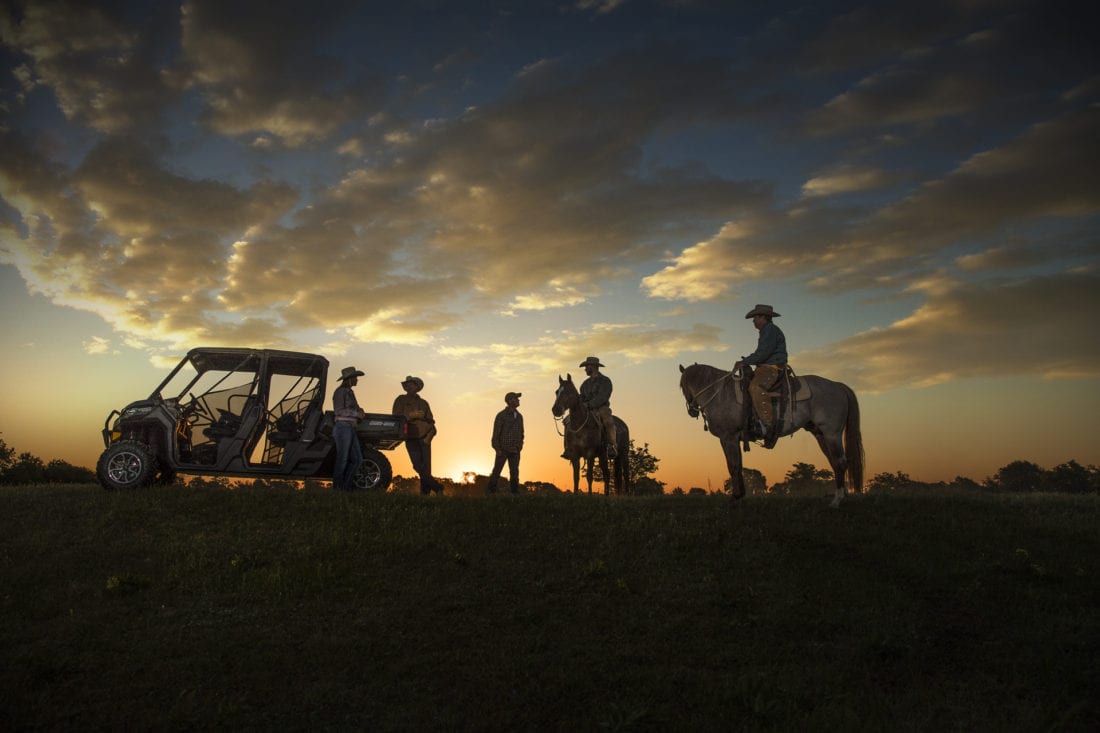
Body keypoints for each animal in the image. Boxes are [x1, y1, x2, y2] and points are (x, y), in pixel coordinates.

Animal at [673, 363, 862, 506]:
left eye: (682, 386)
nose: (692, 410)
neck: (720, 394)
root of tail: (837, 385)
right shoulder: (735, 439)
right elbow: (738, 466)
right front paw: (740, 495)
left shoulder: (728, 437)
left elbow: (733, 466)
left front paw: (735, 497)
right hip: (821, 434)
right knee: (835, 463)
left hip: (832, 434)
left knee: (840, 462)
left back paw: (836, 501)